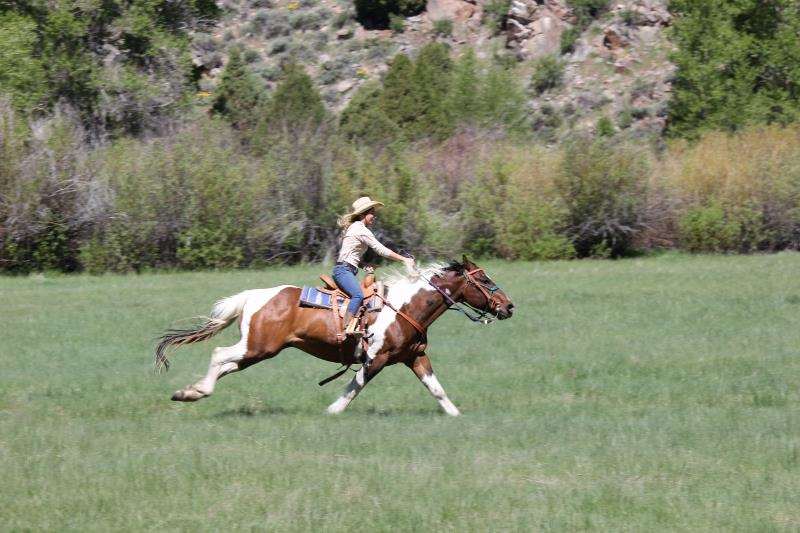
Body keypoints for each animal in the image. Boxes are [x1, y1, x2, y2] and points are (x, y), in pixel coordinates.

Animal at [155, 256, 516, 414]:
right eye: (484, 279)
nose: (509, 306)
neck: (406, 307)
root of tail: (253, 296)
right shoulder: (376, 358)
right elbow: (354, 387)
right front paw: (332, 412)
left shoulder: (415, 356)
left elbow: (437, 389)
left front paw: (456, 415)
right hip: (258, 346)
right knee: (220, 356)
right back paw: (195, 392)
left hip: (257, 351)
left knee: (227, 364)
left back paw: (190, 392)